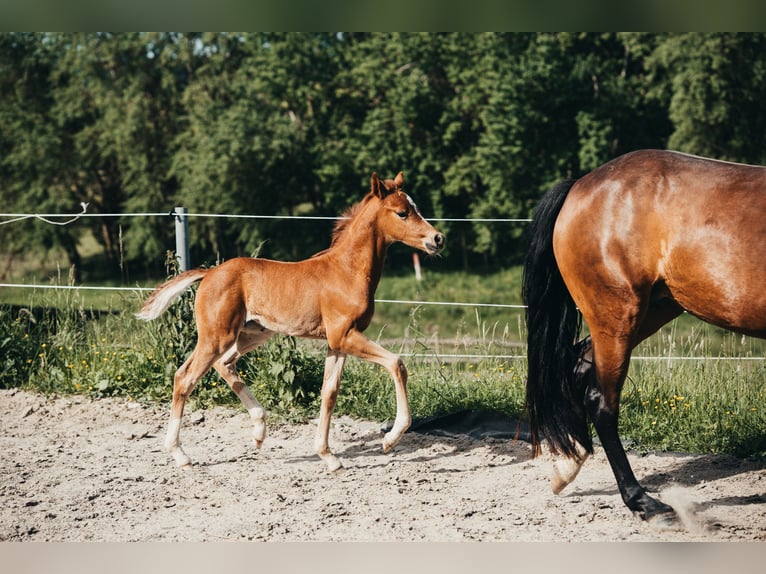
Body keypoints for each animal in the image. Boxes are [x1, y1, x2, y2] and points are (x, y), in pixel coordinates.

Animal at [136, 172, 445, 472]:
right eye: (402, 212)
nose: (437, 239)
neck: (348, 271)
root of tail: (209, 273)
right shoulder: (345, 335)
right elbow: (397, 364)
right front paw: (390, 439)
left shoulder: (336, 343)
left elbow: (329, 393)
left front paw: (328, 457)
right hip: (217, 336)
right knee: (184, 377)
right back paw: (180, 455)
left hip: (251, 334)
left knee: (224, 365)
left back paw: (259, 430)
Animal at [522, 149, 766, 525]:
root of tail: (580, 185)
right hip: (619, 318)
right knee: (602, 402)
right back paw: (642, 501)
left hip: (654, 309)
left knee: (579, 365)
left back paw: (568, 464)